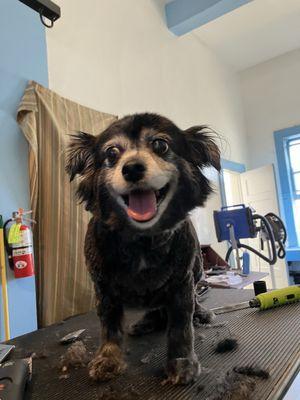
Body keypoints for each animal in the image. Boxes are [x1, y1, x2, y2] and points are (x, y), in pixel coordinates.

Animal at [65, 112, 220, 384]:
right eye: (112, 153)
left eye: (160, 145)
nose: (132, 168)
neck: (141, 241)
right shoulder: (104, 290)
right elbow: (109, 327)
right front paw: (108, 359)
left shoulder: (182, 284)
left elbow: (180, 327)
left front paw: (181, 362)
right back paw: (147, 322)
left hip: (198, 269)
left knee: (193, 298)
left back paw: (200, 313)